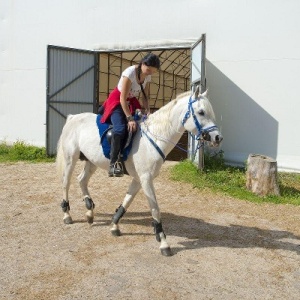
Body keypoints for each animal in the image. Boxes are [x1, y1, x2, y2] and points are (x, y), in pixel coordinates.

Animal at [55, 86, 223, 255]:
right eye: (201, 112)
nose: (218, 138)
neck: (154, 139)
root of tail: (72, 118)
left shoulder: (138, 179)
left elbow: (127, 201)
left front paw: (114, 226)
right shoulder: (146, 179)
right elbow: (155, 209)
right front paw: (163, 243)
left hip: (92, 161)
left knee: (82, 180)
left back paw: (89, 212)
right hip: (70, 159)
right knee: (65, 183)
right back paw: (67, 215)